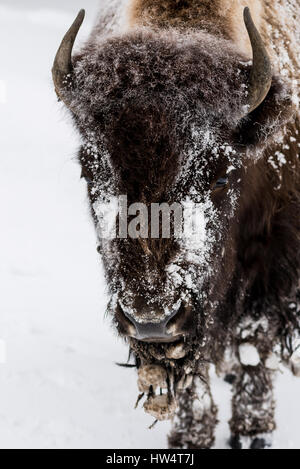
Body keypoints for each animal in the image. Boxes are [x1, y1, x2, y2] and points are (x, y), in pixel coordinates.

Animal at [52, 0, 300, 448]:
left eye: (220, 177)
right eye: (88, 173)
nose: (151, 319)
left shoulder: (274, 264)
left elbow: (254, 344)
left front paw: (253, 433)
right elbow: (190, 369)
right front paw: (190, 437)